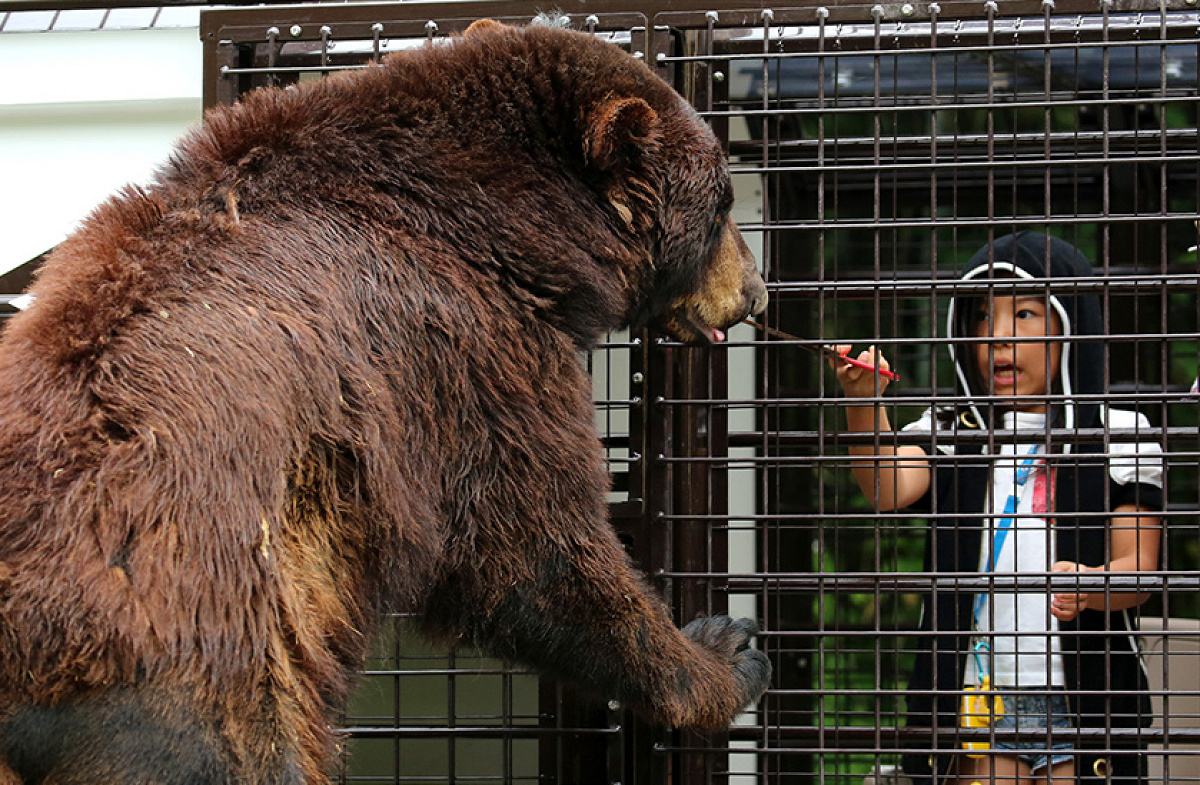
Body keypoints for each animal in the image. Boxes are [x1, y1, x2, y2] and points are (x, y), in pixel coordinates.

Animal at [0, 18, 768, 785]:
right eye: (724, 205)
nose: (758, 291)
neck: (509, 224)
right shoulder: (463, 353)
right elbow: (537, 545)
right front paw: (721, 650)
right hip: (206, 655)